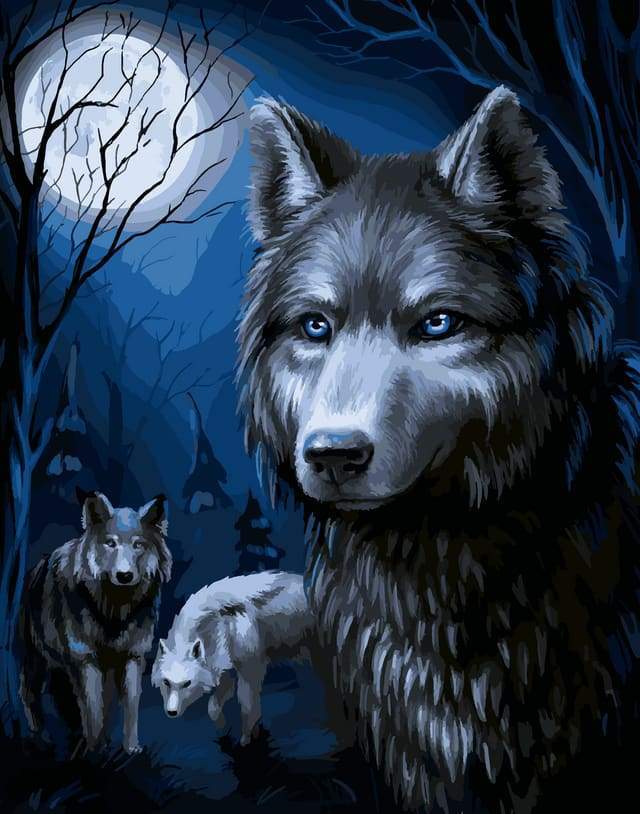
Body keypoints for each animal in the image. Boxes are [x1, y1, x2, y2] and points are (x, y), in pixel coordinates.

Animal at [19, 491, 172, 753]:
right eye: (110, 543)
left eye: (138, 545)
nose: (124, 576)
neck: (114, 611)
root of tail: (37, 566)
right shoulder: (85, 659)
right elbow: (92, 710)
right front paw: (93, 750)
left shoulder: (133, 656)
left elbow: (128, 707)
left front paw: (130, 749)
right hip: (36, 660)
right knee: (28, 691)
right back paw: (41, 737)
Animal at [151, 571, 313, 744]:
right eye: (166, 682)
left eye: (187, 683)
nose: (171, 712)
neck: (218, 622)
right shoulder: (224, 672)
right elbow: (213, 708)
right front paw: (224, 730)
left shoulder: (251, 670)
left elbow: (247, 707)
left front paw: (246, 739)